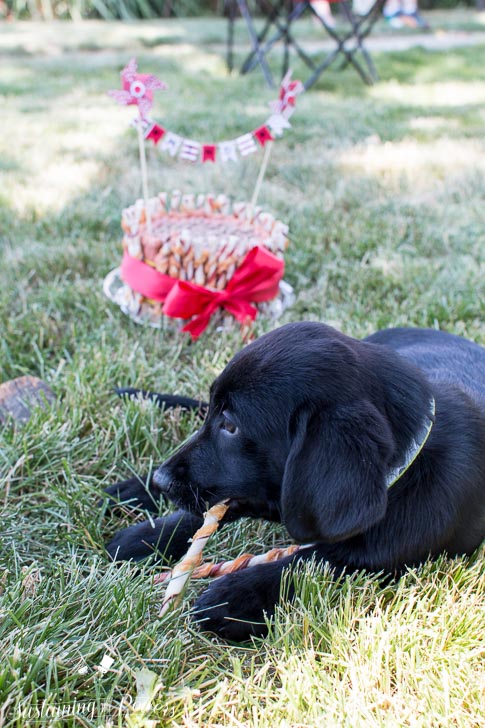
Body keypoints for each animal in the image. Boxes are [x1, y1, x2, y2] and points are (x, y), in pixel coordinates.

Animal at [106, 322, 484, 640]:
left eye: (231, 425)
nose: (161, 480)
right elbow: (204, 517)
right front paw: (146, 536)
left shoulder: (382, 556)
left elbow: (314, 560)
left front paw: (238, 595)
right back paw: (133, 490)